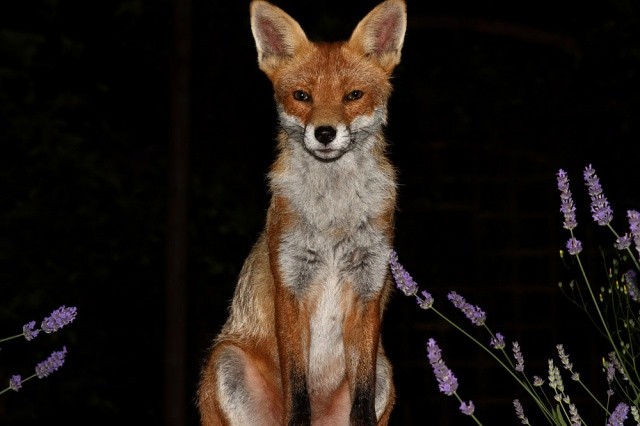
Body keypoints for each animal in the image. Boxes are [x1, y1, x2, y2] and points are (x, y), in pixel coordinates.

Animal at [196, 0, 404, 424]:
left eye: (353, 95)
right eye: (302, 95)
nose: (324, 133)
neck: (333, 220)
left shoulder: (368, 286)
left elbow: (361, 397)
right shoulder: (291, 283)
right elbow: (298, 389)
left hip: (386, 371)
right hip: (227, 361)